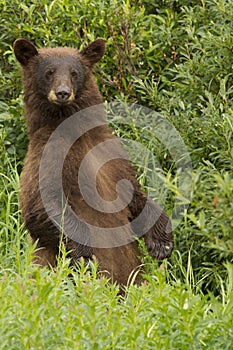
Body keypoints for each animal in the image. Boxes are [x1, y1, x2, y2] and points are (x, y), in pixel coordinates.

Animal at [13, 37, 173, 288]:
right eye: (49, 72)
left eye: (74, 72)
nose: (62, 92)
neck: (76, 132)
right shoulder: (46, 159)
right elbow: (39, 209)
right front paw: (84, 254)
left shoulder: (112, 155)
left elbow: (134, 193)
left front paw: (161, 243)